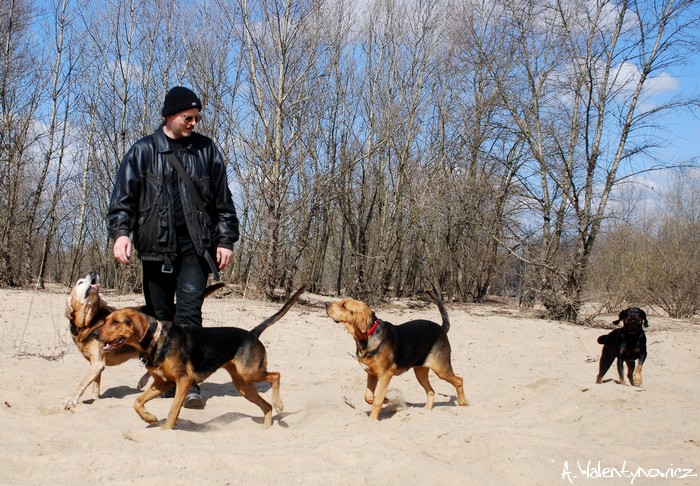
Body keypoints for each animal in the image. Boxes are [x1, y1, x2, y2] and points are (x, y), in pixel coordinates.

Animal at [65, 272, 224, 408]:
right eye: (79, 282)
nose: (93, 272)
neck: (89, 322)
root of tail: (174, 306)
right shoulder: (95, 364)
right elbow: (95, 385)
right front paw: (95, 399)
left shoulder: (97, 364)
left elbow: (82, 382)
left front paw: (71, 400)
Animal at [92, 284, 304, 430]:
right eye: (106, 320)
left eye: (116, 322)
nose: (94, 334)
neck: (158, 339)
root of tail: (252, 333)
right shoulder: (162, 383)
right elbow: (137, 402)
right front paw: (149, 418)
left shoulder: (183, 381)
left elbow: (173, 411)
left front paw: (165, 430)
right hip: (243, 385)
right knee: (266, 406)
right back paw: (266, 429)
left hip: (249, 373)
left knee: (276, 376)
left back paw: (279, 404)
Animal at [326, 290, 468, 420]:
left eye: (343, 306)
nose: (326, 303)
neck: (369, 335)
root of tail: (442, 328)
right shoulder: (371, 374)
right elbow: (369, 397)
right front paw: (385, 400)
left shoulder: (385, 375)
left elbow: (376, 401)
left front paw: (372, 420)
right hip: (420, 372)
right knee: (431, 391)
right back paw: (426, 411)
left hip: (441, 369)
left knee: (459, 380)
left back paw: (463, 402)